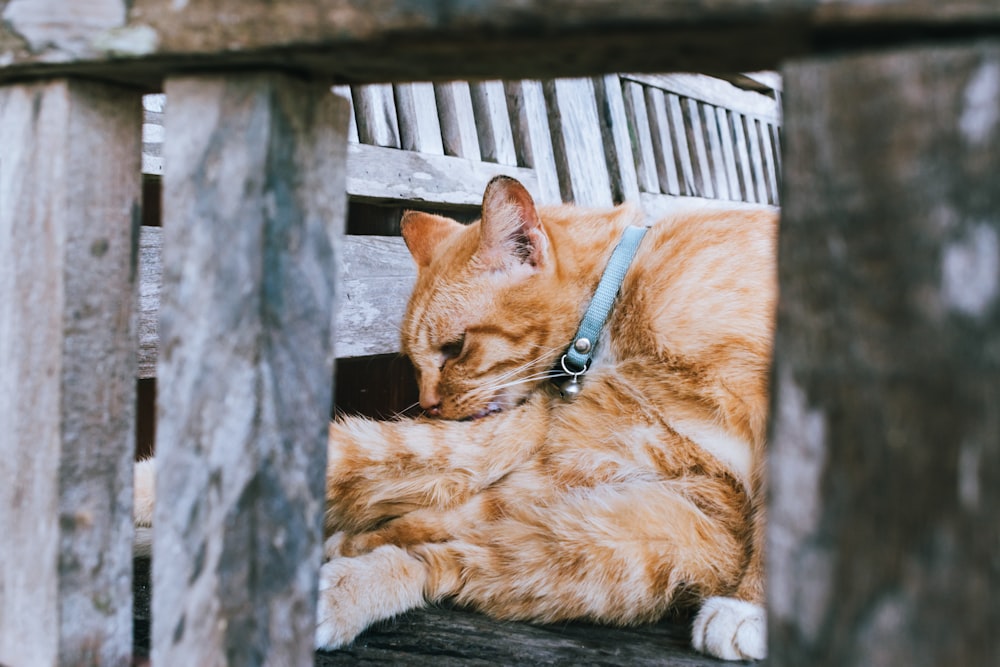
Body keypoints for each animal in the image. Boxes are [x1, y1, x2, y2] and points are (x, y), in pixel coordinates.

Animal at [135, 176, 772, 664]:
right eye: (415, 363)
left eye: (454, 349)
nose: (430, 404)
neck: (617, 301)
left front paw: (753, 609)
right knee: (446, 547)